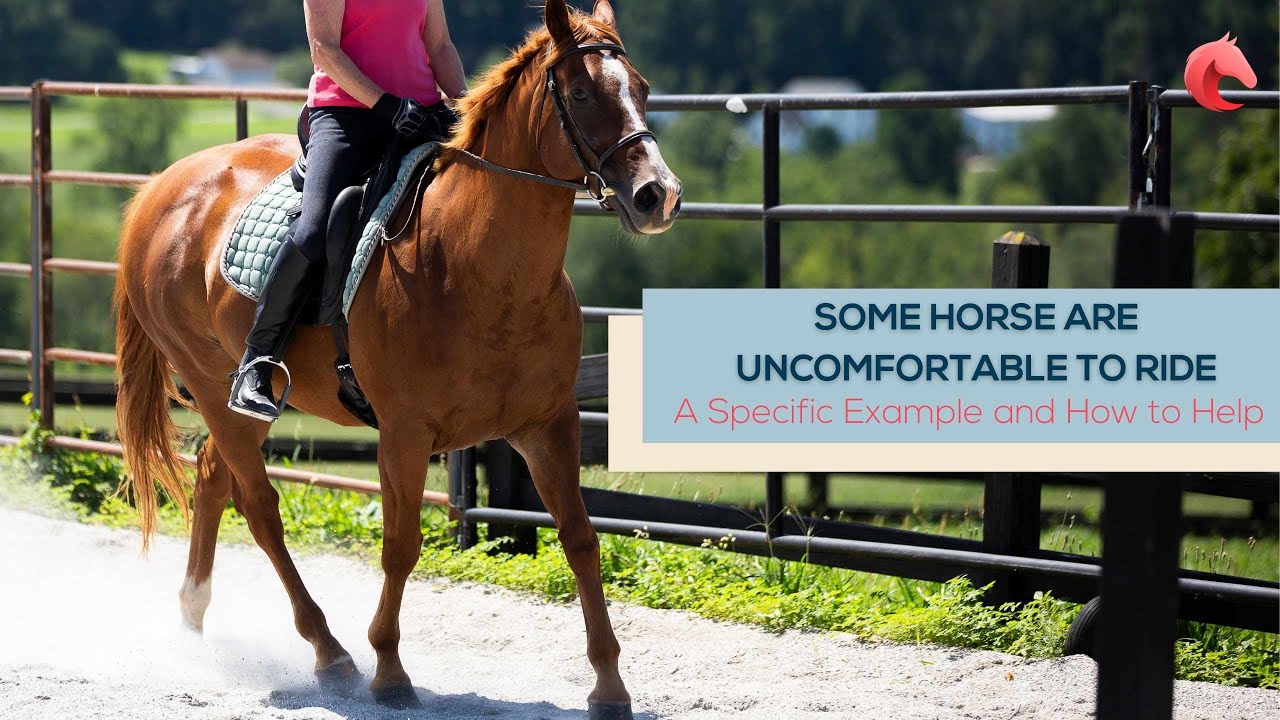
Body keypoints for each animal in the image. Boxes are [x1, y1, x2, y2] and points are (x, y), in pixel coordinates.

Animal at [111, 1, 681, 716]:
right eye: (580, 93)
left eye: (643, 89)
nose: (658, 195)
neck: (476, 266)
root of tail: (162, 188)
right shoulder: (405, 435)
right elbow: (401, 546)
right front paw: (389, 669)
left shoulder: (549, 425)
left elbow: (580, 539)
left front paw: (609, 684)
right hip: (216, 388)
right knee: (261, 506)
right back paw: (328, 651)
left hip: (237, 405)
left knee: (216, 477)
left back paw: (193, 615)